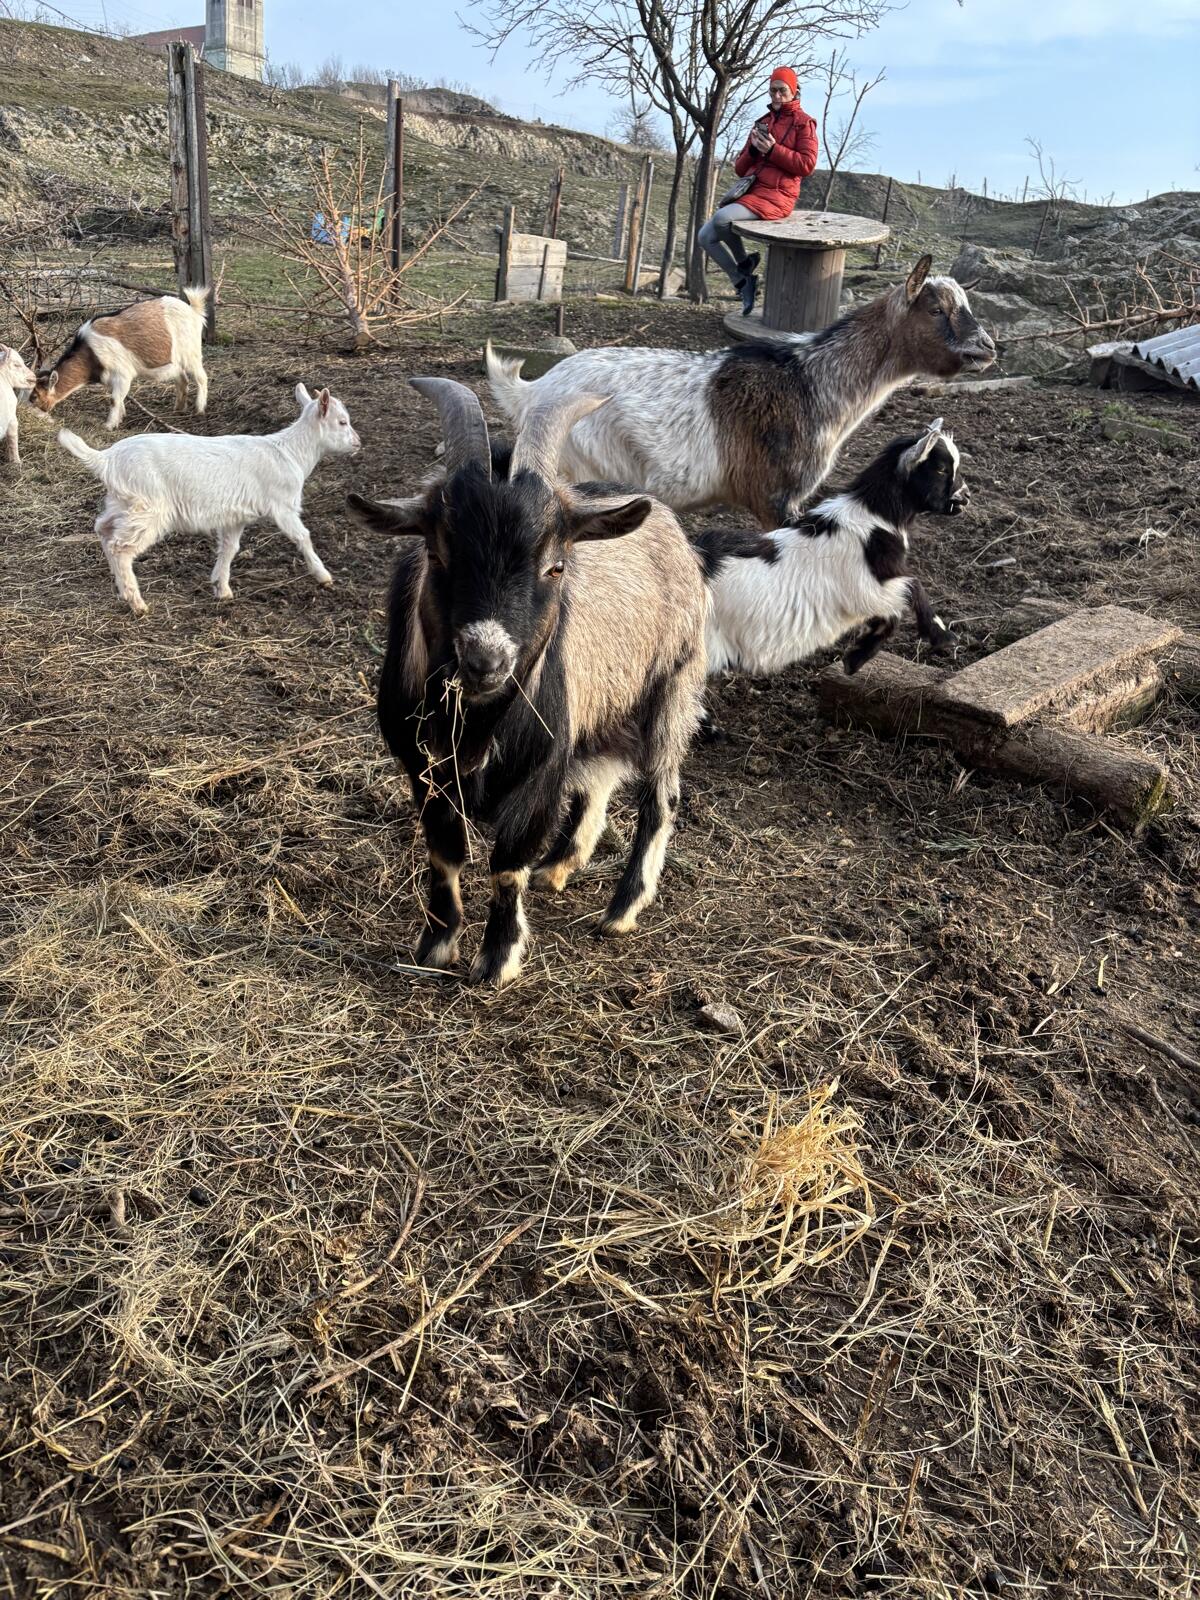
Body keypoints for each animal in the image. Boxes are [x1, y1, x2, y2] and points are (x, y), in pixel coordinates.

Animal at [31, 288, 210, 431]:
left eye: (35, 397)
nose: (33, 414)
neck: (90, 353)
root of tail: (194, 310)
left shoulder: (122, 373)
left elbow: (114, 400)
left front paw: (109, 425)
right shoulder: (110, 378)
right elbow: (119, 398)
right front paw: (120, 417)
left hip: (191, 353)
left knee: (201, 377)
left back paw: (199, 409)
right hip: (175, 362)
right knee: (182, 379)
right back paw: (178, 409)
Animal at [57, 384, 360, 615]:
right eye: (342, 422)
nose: (357, 443)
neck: (291, 453)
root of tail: (106, 458)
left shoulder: (236, 515)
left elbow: (229, 548)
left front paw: (222, 589)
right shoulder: (283, 506)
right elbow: (303, 537)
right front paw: (323, 576)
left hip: (124, 501)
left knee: (103, 529)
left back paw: (121, 589)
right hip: (150, 506)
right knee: (121, 546)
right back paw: (137, 602)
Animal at [347, 378, 708, 989]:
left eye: (555, 566)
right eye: (437, 552)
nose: (486, 660)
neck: (476, 720)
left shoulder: (539, 768)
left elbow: (507, 864)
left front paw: (498, 960)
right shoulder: (422, 766)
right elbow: (444, 850)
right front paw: (436, 944)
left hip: (673, 688)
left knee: (661, 795)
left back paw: (622, 910)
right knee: (599, 780)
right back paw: (560, 866)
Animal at [487, 255, 995, 528]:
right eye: (935, 309)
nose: (987, 348)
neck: (813, 381)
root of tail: (531, 392)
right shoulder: (775, 499)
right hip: (583, 472)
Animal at [696, 420, 965, 684]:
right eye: (941, 469)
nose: (966, 498)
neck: (874, 519)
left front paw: (855, 658)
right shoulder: (867, 589)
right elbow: (912, 588)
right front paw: (943, 637)